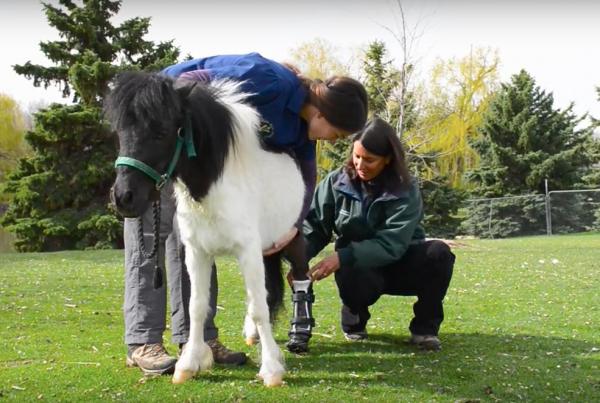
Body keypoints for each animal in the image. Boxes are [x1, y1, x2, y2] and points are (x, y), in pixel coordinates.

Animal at [105, 73, 308, 388]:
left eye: (162, 131)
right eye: (120, 132)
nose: (124, 198)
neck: (217, 186)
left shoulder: (248, 251)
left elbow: (259, 308)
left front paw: (272, 370)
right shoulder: (197, 253)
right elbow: (196, 307)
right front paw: (188, 364)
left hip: (290, 244)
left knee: (294, 282)